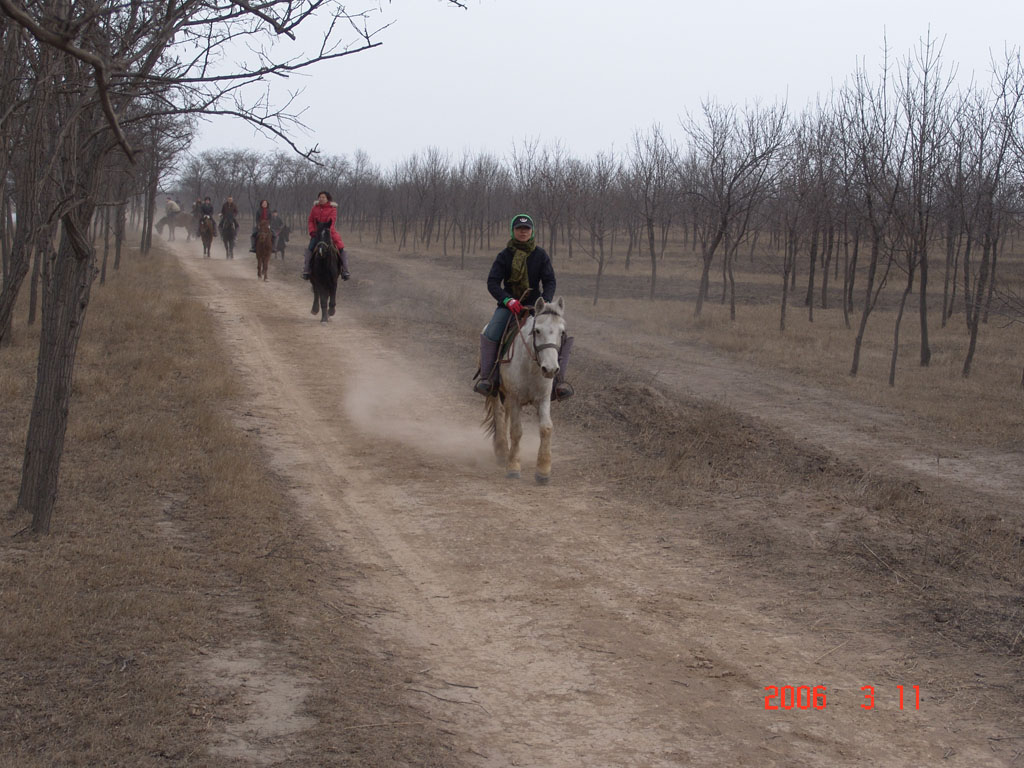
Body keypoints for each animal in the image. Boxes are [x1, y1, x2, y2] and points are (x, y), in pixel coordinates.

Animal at [485, 296, 569, 483]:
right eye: (537, 331)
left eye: (562, 333)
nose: (550, 369)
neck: (531, 367)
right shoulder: (516, 398)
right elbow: (516, 430)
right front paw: (513, 467)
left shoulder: (543, 399)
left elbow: (546, 428)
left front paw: (543, 471)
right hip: (496, 391)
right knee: (499, 413)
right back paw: (502, 451)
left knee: (505, 414)